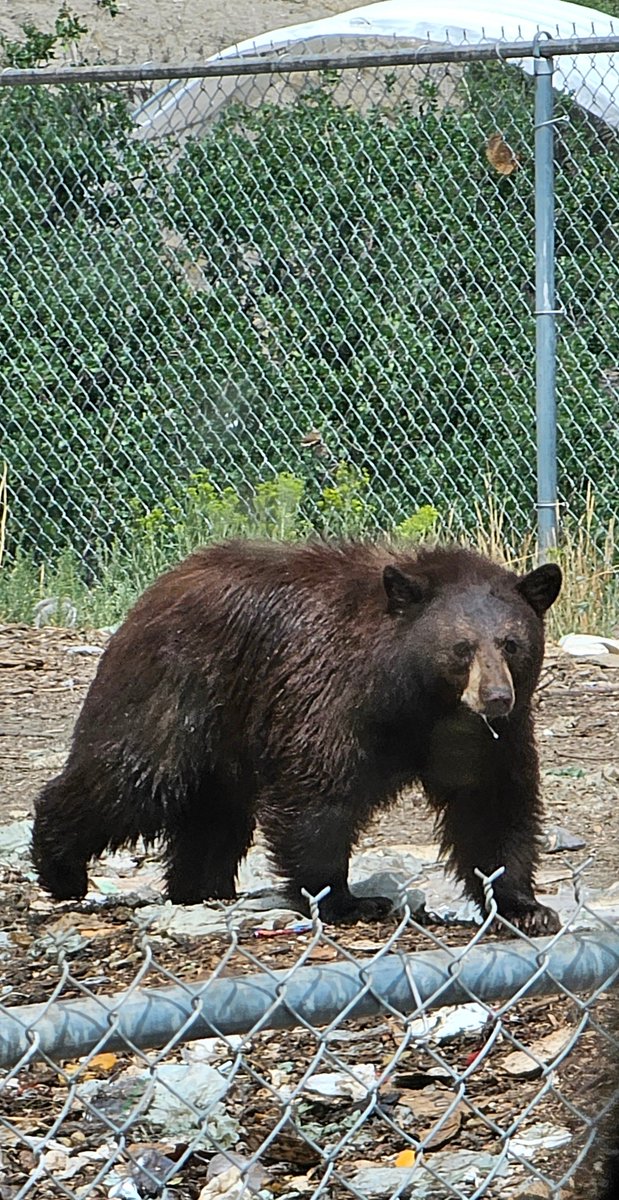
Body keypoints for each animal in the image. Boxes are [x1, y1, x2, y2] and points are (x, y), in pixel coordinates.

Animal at [31, 540, 562, 932]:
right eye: (461, 647)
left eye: (512, 643)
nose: (496, 696)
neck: (419, 696)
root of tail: (157, 589)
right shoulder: (330, 692)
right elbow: (317, 791)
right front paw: (346, 900)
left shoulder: (481, 736)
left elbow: (492, 803)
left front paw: (525, 906)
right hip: (176, 687)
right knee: (132, 777)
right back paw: (61, 868)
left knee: (214, 816)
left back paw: (200, 887)